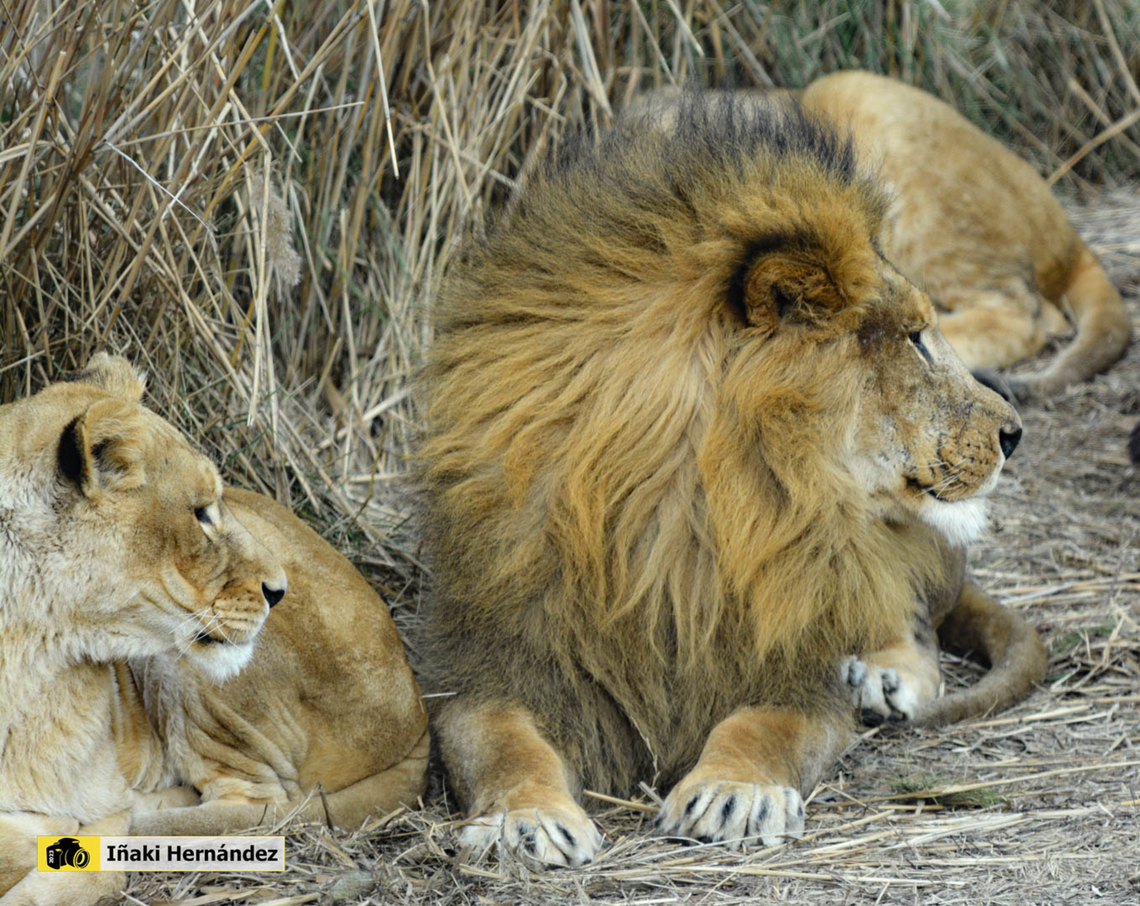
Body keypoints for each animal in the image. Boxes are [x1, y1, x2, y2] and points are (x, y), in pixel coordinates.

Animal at [0, 354, 427, 905]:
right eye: (201, 514)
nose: (278, 590)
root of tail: (417, 715)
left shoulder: (99, 797)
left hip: (193, 677)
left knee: (258, 807)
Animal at [416, 96, 1046, 868]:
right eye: (917, 339)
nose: (1014, 433)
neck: (681, 527)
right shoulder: (496, 664)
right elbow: (502, 743)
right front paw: (523, 820)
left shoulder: (792, 668)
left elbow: (766, 727)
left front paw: (736, 793)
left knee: (912, 616)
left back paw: (886, 676)